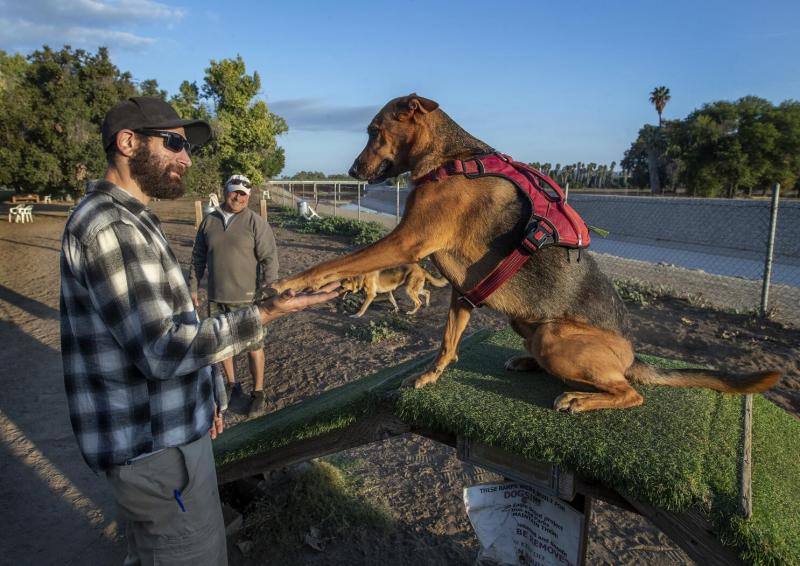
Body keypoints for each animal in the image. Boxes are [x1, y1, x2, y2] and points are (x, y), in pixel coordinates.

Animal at [274, 93, 780, 412]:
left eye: (374, 130)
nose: (351, 171)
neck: (448, 159)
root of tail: (633, 356)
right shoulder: (462, 291)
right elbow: (447, 343)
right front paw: (430, 376)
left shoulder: (406, 240)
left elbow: (335, 261)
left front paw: (292, 283)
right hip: (532, 328)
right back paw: (528, 364)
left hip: (556, 336)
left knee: (630, 393)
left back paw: (581, 397)